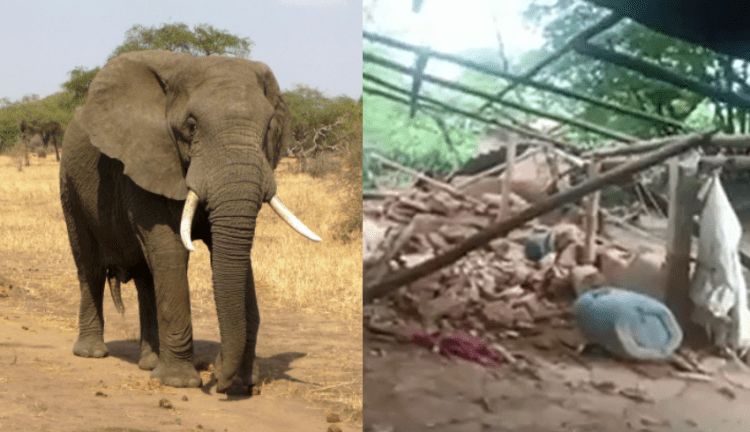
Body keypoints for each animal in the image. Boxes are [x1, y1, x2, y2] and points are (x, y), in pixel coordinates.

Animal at [61, 49, 324, 394]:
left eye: (269, 126)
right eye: (191, 126)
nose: (220, 377)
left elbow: (231, 253)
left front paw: (243, 382)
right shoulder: (145, 159)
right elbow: (171, 249)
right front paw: (180, 383)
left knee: (146, 277)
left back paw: (149, 363)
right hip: (69, 184)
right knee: (89, 265)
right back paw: (92, 353)